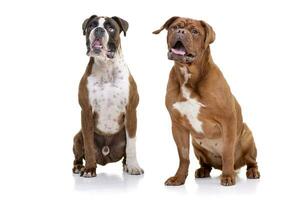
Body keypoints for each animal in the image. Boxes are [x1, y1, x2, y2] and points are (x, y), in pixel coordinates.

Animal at [72, 16, 144, 178]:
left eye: (111, 28)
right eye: (91, 25)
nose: (98, 30)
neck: (106, 67)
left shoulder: (131, 112)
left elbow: (132, 145)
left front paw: (133, 166)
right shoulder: (86, 112)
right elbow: (88, 144)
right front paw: (89, 169)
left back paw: (126, 165)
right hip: (77, 137)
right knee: (78, 155)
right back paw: (79, 167)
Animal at [154, 16, 258, 186]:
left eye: (195, 31)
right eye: (174, 27)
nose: (180, 31)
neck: (188, 75)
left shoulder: (228, 120)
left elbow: (228, 152)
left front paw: (227, 176)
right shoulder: (178, 126)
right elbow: (183, 156)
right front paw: (178, 178)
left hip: (247, 137)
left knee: (250, 161)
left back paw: (252, 171)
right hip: (197, 144)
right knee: (206, 163)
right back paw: (202, 171)